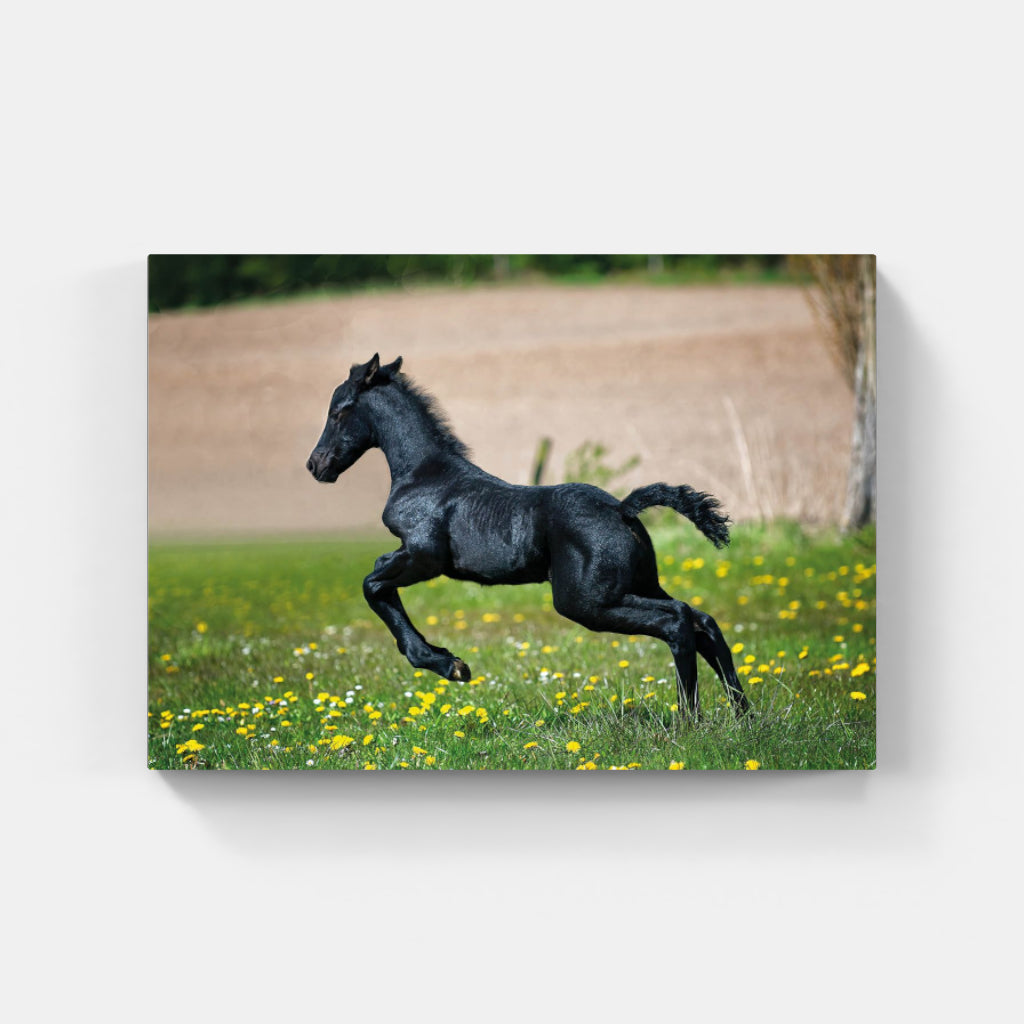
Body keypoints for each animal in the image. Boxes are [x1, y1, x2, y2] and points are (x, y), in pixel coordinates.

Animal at [307, 354, 750, 720]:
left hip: (587, 601)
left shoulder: (424, 556)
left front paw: (449, 665)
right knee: (702, 620)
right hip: (636, 585)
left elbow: (372, 584)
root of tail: (623, 509)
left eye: (338, 411)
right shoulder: (411, 556)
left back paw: (689, 719)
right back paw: (742, 715)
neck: (425, 474)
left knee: (677, 620)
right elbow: (379, 580)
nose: (316, 465)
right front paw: (447, 660)